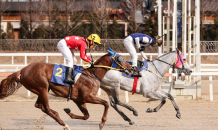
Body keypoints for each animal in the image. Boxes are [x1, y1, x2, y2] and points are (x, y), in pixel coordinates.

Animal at [0, 48, 133, 130]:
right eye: (121, 58)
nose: (131, 68)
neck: (92, 74)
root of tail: (22, 70)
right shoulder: (87, 97)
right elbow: (106, 103)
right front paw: (101, 123)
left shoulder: (79, 100)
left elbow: (86, 116)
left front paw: (68, 111)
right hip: (42, 88)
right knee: (46, 108)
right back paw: (64, 124)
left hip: (41, 89)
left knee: (40, 106)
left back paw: (58, 115)